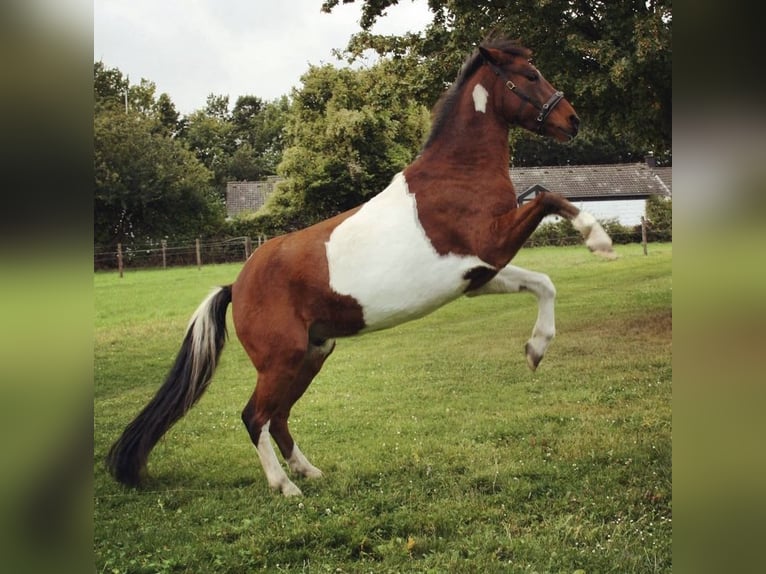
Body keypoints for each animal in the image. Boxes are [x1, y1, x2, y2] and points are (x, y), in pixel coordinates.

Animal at [105, 39, 616, 500]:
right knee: (254, 417)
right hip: (283, 360)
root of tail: (236, 284)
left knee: (278, 417)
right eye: (529, 75)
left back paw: (309, 472)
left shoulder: (480, 273)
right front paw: (600, 240)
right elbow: (548, 198)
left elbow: (544, 283)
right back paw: (285, 486)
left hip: (312, 354)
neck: (457, 175)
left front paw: (535, 350)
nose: (572, 121)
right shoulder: (490, 244)